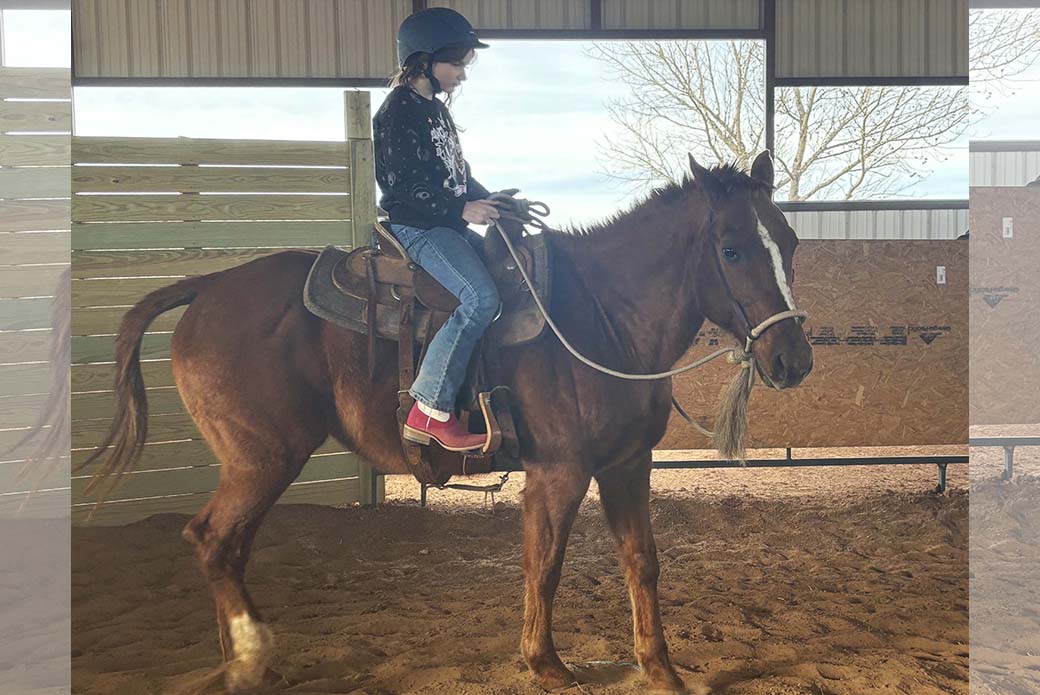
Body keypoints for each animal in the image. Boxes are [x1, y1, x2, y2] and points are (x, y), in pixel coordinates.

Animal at [80, 151, 813, 693]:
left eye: (790, 241)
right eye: (732, 249)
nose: (793, 358)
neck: (603, 316)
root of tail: (207, 286)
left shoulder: (628, 466)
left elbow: (643, 562)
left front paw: (660, 669)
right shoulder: (560, 472)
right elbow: (544, 563)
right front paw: (546, 663)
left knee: (227, 547)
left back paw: (241, 660)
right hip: (263, 456)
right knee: (212, 540)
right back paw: (252, 655)